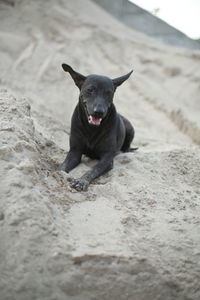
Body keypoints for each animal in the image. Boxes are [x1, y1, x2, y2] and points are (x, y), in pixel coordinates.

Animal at [58, 63, 136, 191]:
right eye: (90, 90)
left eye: (108, 93)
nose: (99, 112)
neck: (92, 128)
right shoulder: (75, 152)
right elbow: (63, 166)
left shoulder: (107, 158)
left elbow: (93, 169)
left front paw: (81, 181)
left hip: (130, 129)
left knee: (127, 148)